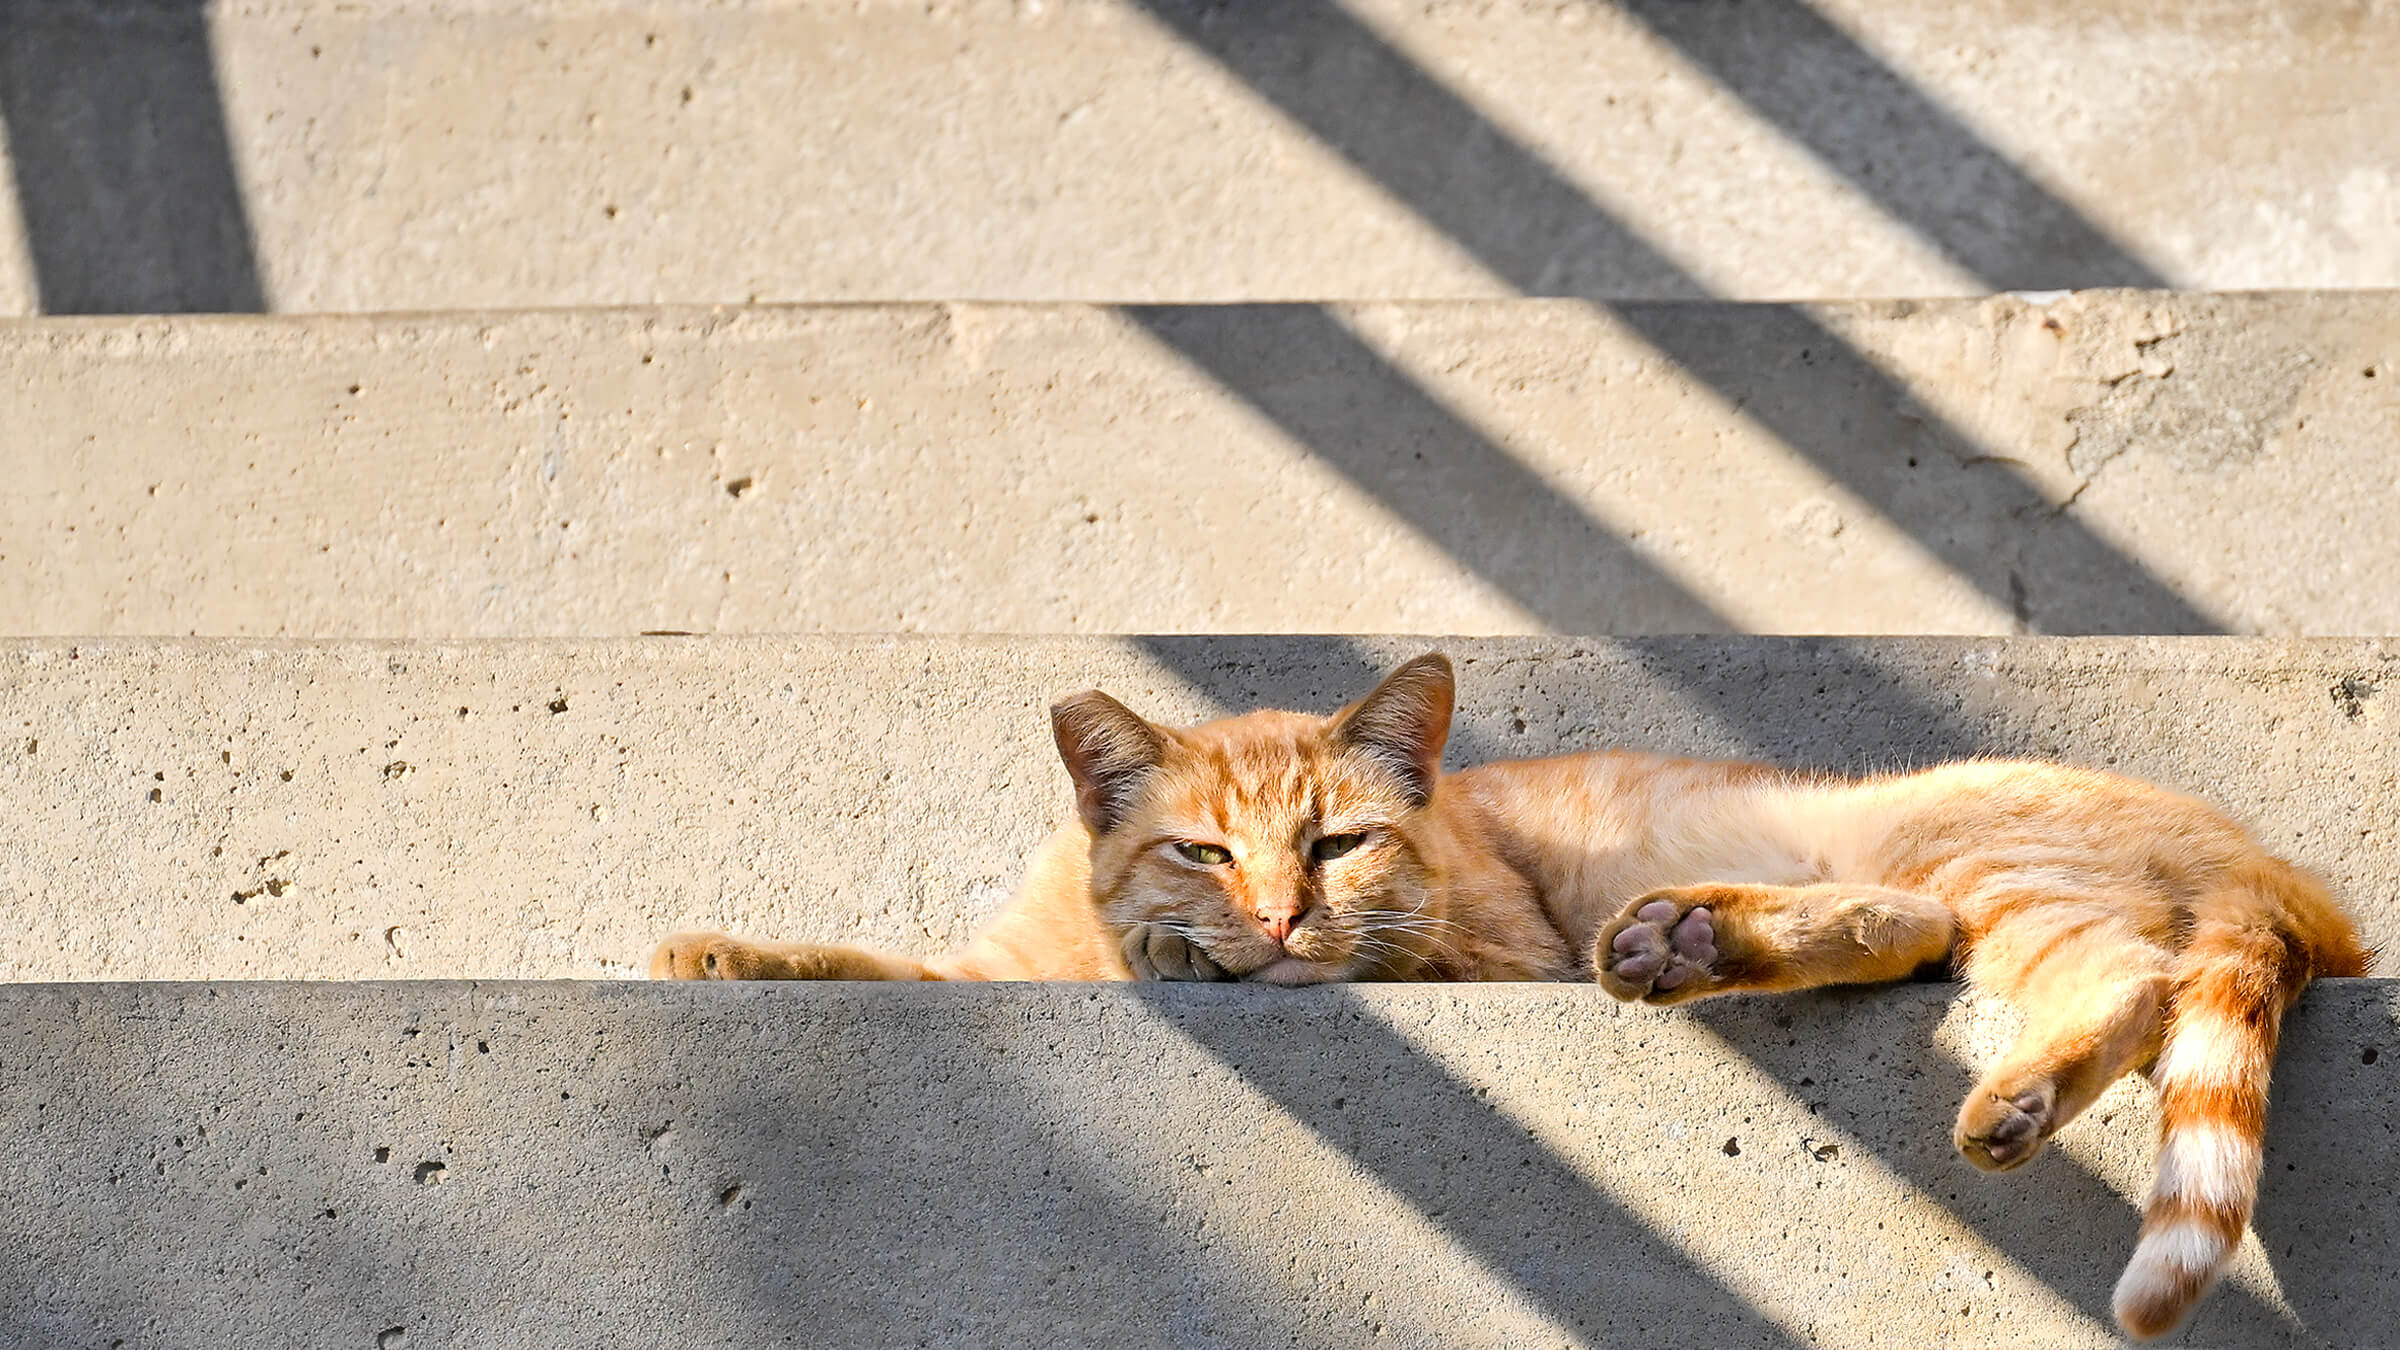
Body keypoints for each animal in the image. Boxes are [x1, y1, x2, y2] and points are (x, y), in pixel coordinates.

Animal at [652, 653, 2361, 1335]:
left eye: (1338, 843)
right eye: (1205, 845)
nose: (1273, 916)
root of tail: (2280, 866)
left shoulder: (1498, 952)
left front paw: (1191, 959)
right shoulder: (978, 970)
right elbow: (867, 960)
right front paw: (721, 955)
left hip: (1979, 850)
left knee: (2108, 970)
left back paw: (1993, 1082)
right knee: (1933, 930)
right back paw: (1690, 943)